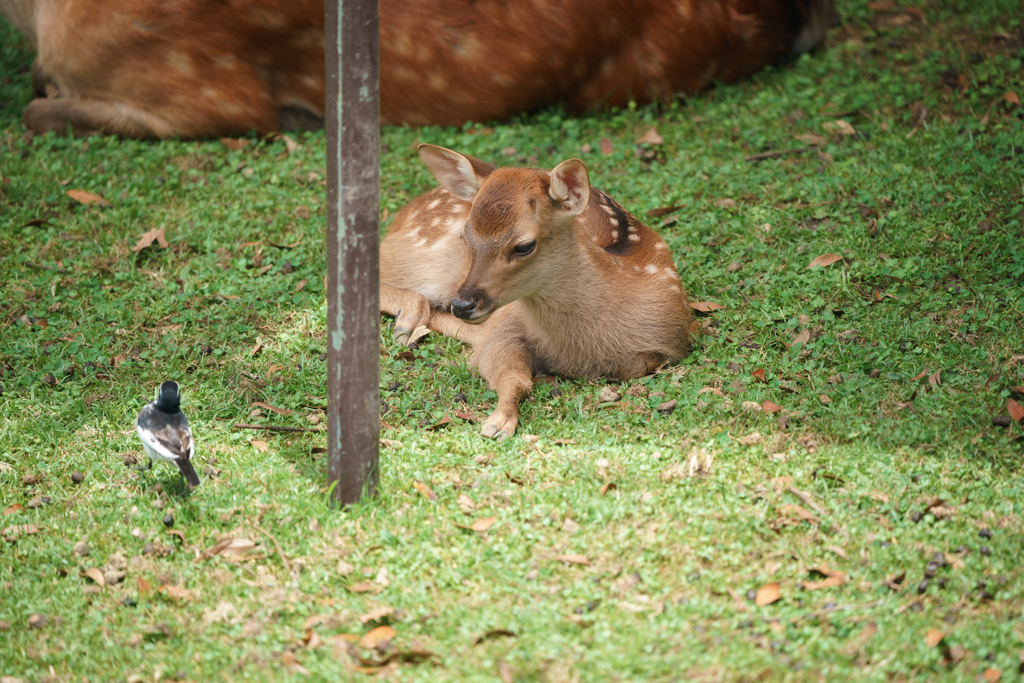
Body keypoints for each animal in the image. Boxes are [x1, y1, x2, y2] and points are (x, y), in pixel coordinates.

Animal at [385, 147, 696, 440]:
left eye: (524, 245)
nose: (463, 304)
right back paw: (407, 322)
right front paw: (498, 423)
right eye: (466, 236)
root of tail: (405, 212)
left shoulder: (674, 339)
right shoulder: (508, 327)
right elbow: (516, 377)